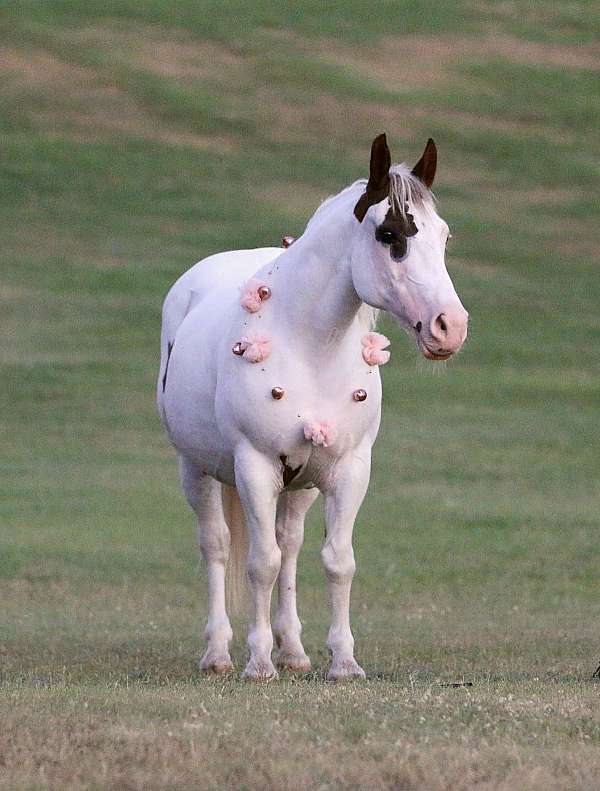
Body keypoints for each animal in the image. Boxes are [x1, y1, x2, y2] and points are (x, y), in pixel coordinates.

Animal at [157, 134, 468, 680]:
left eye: (444, 237)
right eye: (389, 233)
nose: (450, 326)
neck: (310, 347)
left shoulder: (349, 469)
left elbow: (336, 561)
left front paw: (342, 661)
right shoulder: (255, 467)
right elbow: (260, 563)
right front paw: (259, 662)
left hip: (300, 483)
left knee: (291, 545)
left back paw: (294, 651)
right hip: (196, 469)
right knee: (217, 546)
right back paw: (219, 653)